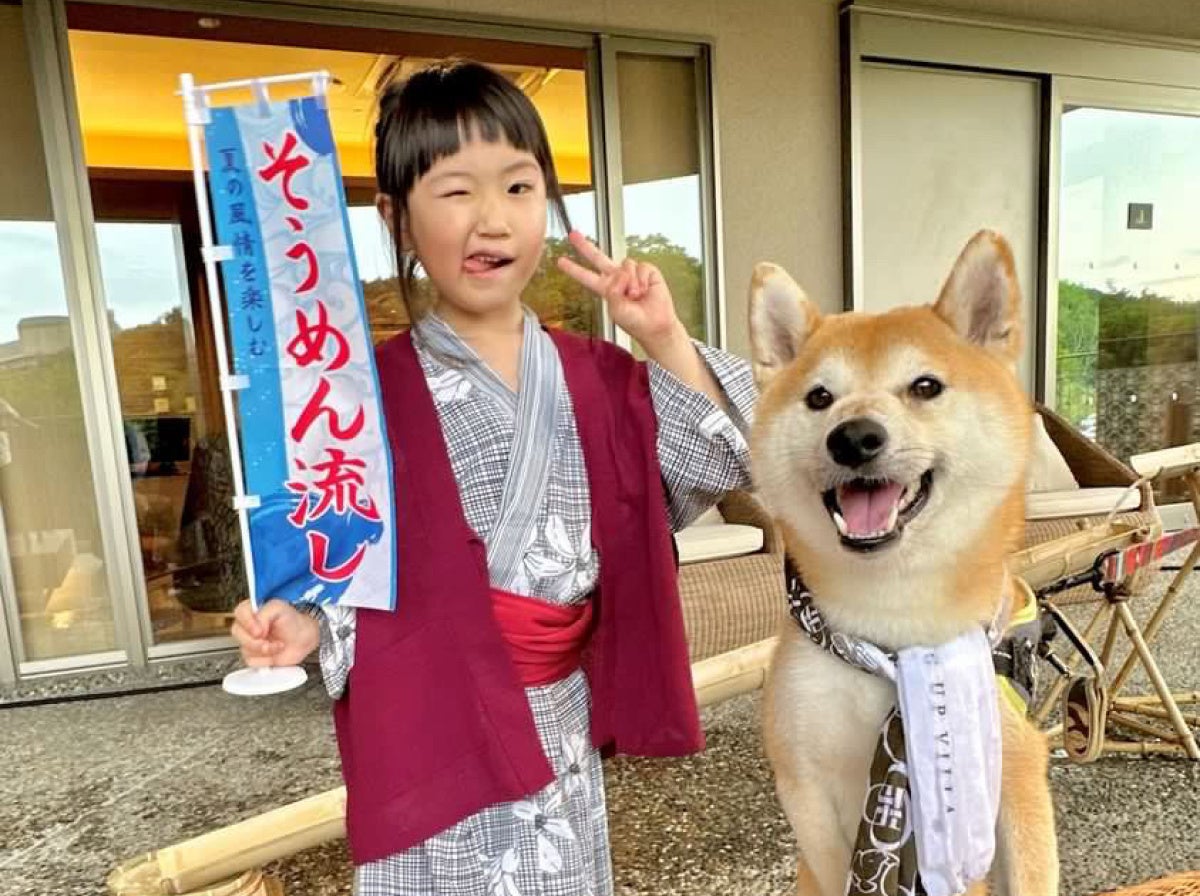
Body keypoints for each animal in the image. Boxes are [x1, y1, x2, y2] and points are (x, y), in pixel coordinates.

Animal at [753, 232, 1056, 896]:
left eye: (924, 387)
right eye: (819, 397)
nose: (853, 437)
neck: (895, 633)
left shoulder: (1016, 764)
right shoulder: (804, 780)